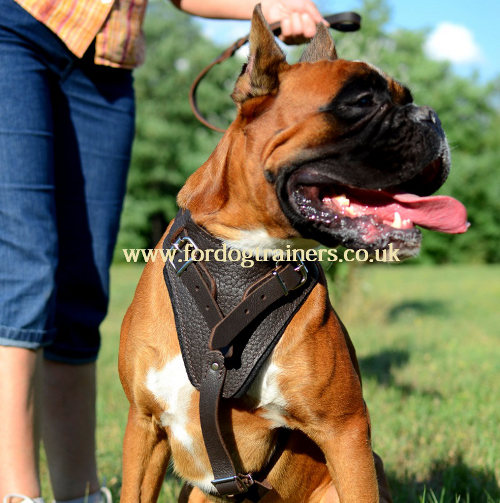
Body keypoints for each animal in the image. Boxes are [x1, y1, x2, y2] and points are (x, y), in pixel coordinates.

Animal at [118, 4, 468, 503]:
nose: (431, 117)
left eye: (409, 98)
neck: (245, 262)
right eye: (361, 100)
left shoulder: (346, 432)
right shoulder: (143, 428)